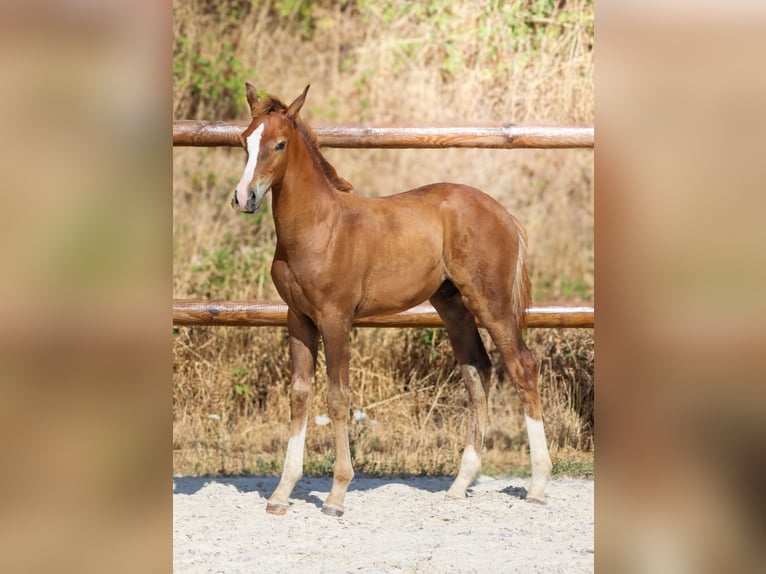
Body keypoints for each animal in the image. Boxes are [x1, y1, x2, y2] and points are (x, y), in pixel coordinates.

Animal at [231, 83, 552, 516]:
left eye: (280, 144)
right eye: (244, 141)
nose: (244, 197)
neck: (319, 227)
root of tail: (503, 213)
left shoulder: (335, 318)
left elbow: (337, 397)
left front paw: (336, 495)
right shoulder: (297, 319)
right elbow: (299, 394)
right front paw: (282, 494)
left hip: (493, 303)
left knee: (522, 367)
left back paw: (537, 484)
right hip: (453, 306)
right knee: (476, 371)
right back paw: (460, 484)